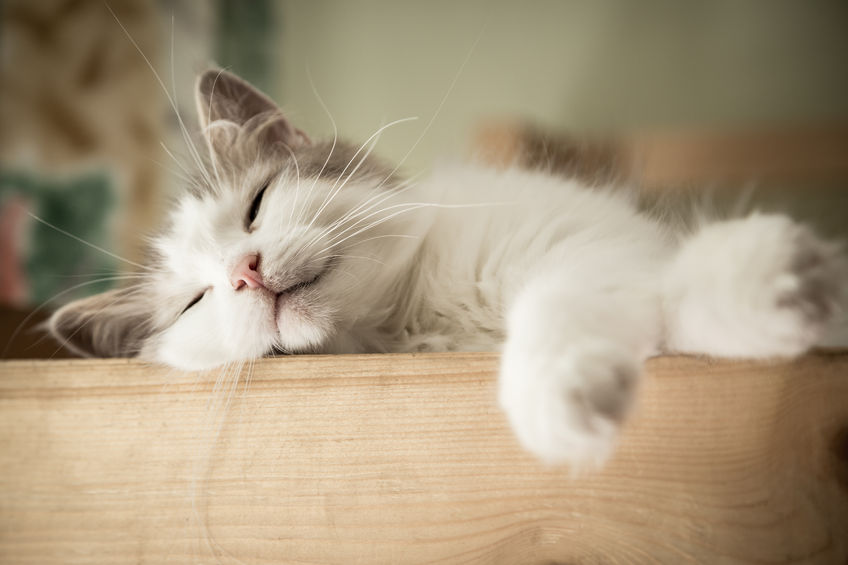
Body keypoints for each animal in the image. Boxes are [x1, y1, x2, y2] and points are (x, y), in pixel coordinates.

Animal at [48, 69, 848, 468]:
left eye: (257, 205)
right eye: (196, 300)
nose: (244, 272)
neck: (416, 319)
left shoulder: (602, 242)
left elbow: (571, 299)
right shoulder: (618, 260)